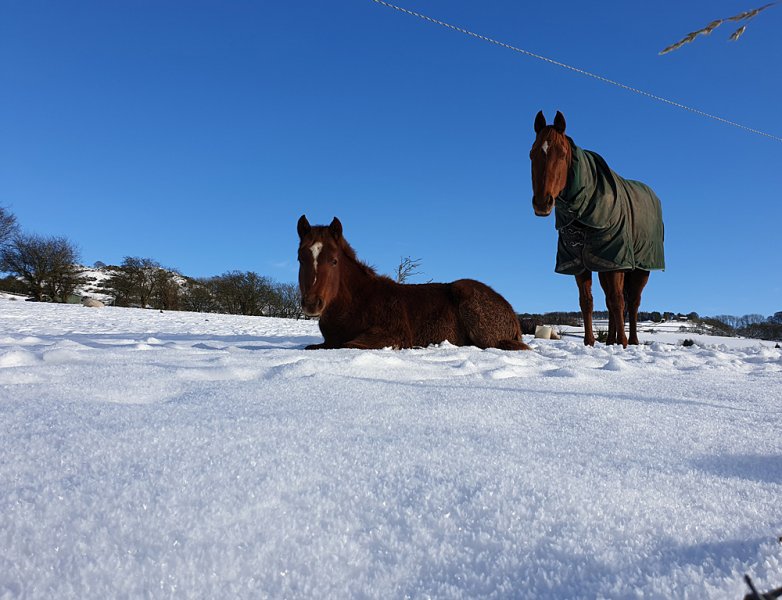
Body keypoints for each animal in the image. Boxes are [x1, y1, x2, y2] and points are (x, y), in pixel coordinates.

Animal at [298, 214, 528, 352]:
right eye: (300, 258)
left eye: (334, 261)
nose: (312, 304)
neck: (356, 303)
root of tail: (510, 311)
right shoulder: (327, 341)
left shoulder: (393, 336)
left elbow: (349, 344)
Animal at [528, 111, 664, 346]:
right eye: (532, 153)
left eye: (562, 154)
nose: (542, 203)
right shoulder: (579, 262)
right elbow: (587, 302)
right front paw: (590, 342)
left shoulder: (616, 260)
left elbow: (618, 301)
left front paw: (624, 344)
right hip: (604, 267)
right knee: (611, 301)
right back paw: (610, 340)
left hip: (641, 268)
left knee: (632, 302)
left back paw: (632, 340)